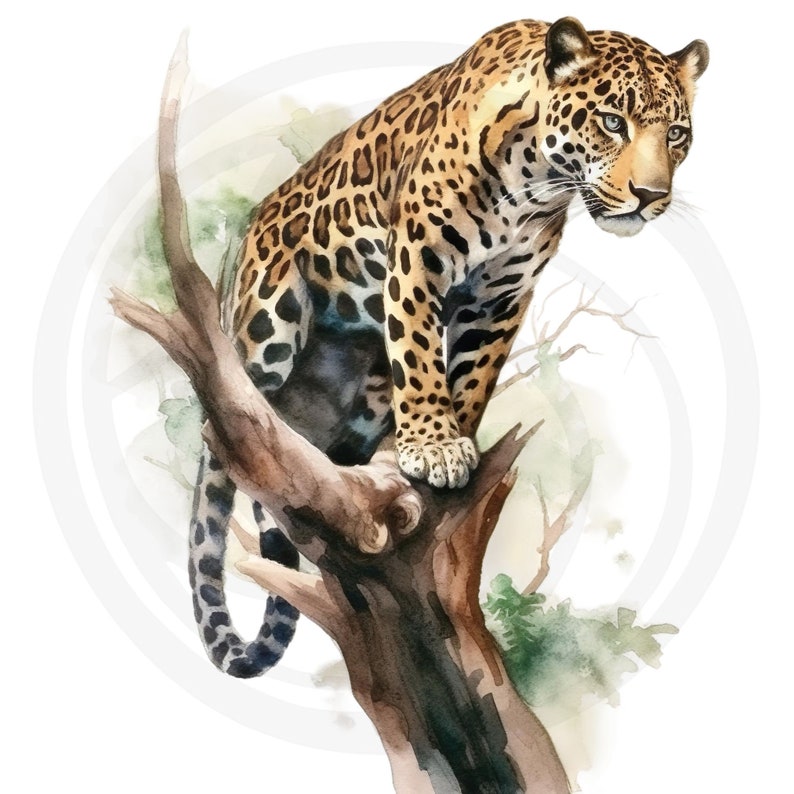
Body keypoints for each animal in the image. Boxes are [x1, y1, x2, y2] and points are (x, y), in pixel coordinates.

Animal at [188, 16, 709, 677]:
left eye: (677, 134)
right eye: (613, 122)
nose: (649, 195)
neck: (535, 184)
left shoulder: (503, 298)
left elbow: (475, 374)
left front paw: (454, 440)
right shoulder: (416, 260)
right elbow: (417, 350)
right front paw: (435, 446)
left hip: (362, 398)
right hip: (266, 328)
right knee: (240, 440)